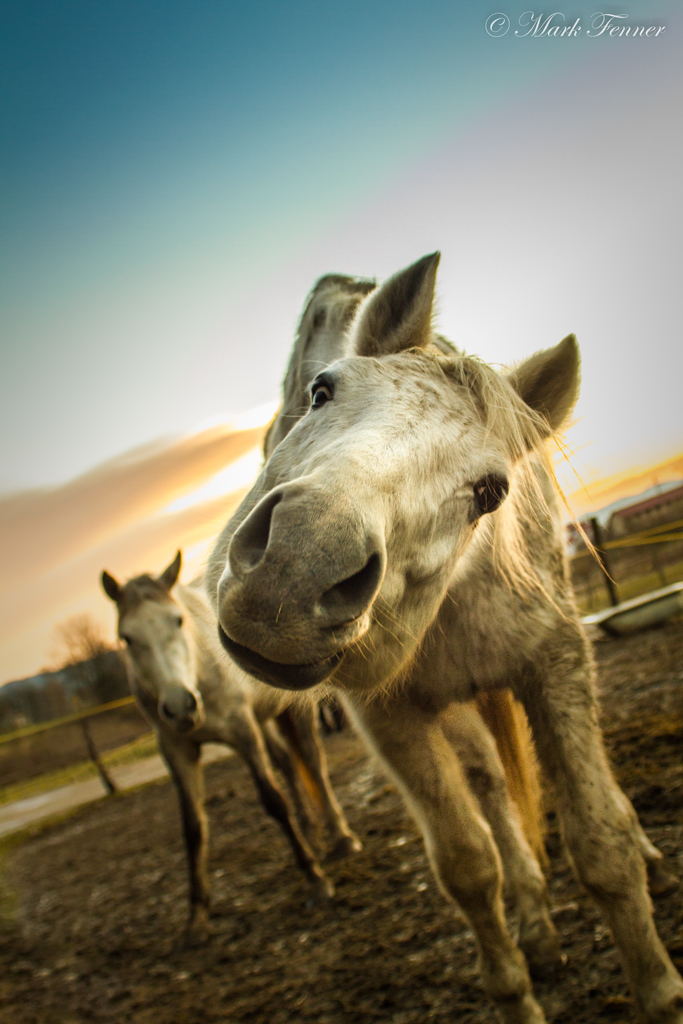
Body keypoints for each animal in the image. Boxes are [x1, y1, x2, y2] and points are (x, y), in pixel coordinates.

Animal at [101, 551, 361, 945]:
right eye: (127, 638)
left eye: (178, 620)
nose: (179, 707)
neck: (198, 669)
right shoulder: (176, 749)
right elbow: (193, 827)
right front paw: (197, 917)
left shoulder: (242, 730)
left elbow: (273, 800)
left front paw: (315, 880)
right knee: (288, 764)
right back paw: (312, 834)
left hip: (293, 707)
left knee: (312, 760)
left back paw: (340, 836)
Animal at [206, 253, 683, 1023]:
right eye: (321, 391)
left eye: (490, 491)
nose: (295, 567)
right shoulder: (388, 715)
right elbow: (467, 864)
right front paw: (518, 983)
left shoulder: (555, 661)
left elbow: (600, 841)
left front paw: (658, 987)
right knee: (490, 785)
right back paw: (535, 925)